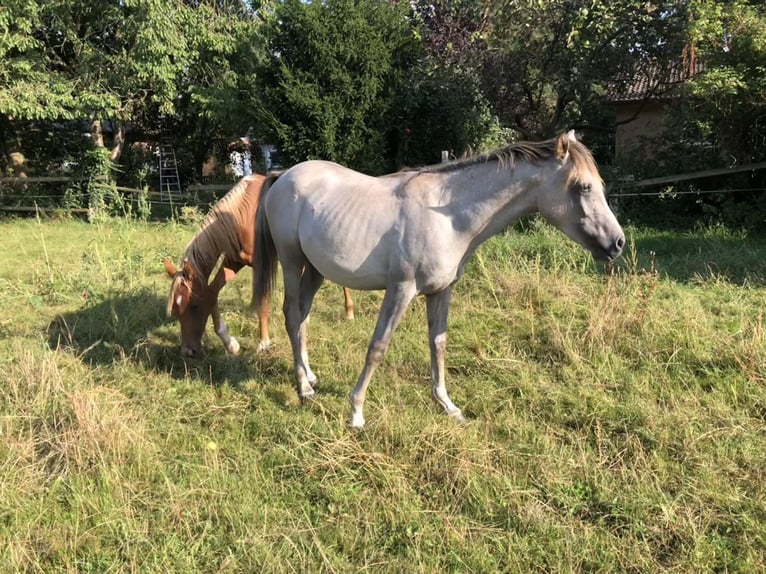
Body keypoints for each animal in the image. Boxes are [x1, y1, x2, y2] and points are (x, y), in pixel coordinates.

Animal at [165, 173, 356, 358]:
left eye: (194, 306)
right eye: (176, 309)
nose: (188, 351)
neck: (242, 214)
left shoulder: (261, 265)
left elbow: (262, 303)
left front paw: (264, 343)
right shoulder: (233, 261)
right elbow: (212, 293)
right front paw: (230, 344)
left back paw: (349, 312)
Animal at [255, 130, 628, 428]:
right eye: (583, 187)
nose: (617, 243)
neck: (448, 217)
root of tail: (283, 175)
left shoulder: (442, 291)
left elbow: (439, 344)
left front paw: (447, 405)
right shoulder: (400, 290)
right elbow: (378, 347)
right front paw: (356, 412)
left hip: (315, 270)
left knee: (303, 317)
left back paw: (309, 376)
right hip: (292, 262)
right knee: (292, 315)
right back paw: (303, 387)